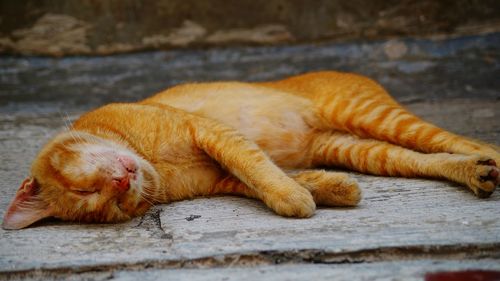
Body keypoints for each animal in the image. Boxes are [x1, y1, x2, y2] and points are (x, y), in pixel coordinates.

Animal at [1, 71, 498, 229]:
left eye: (85, 190)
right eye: (105, 203)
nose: (121, 182)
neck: (156, 168)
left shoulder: (210, 131)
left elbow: (256, 166)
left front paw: (297, 199)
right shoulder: (222, 177)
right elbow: (264, 178)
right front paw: (328, 191)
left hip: (373, 114)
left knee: (460, 139)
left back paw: (489, 157)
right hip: (360, 149)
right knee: (428, 159)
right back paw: (478, 173)